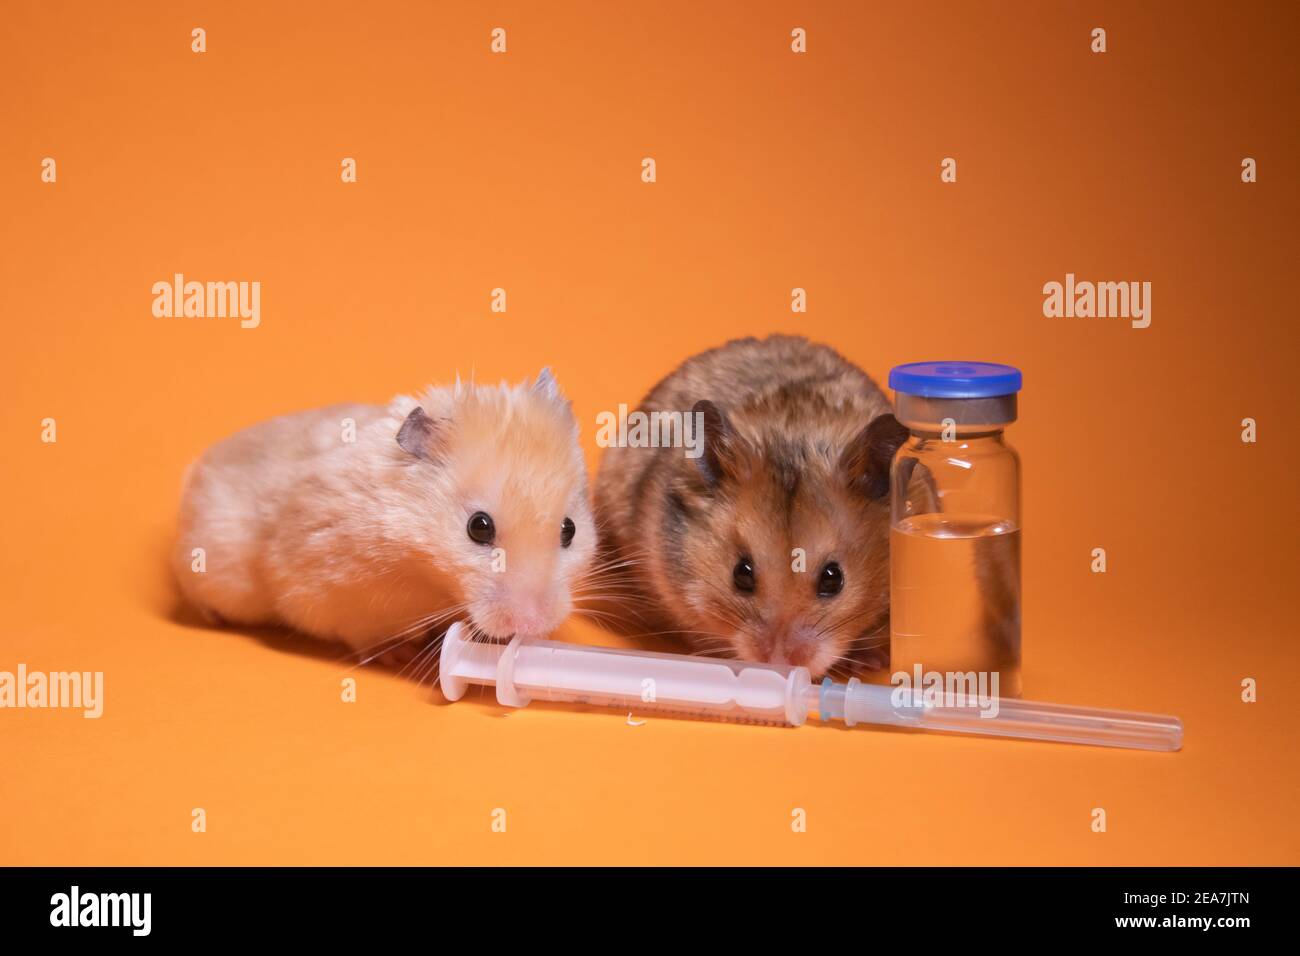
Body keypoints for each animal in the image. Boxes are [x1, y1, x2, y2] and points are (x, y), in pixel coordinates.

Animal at [173, 369, 597, 665]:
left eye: (569, 529)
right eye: (479, 527)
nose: (533, 625)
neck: (426, 575)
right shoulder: (329, 590)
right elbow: (362, 632)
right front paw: (399, 653)